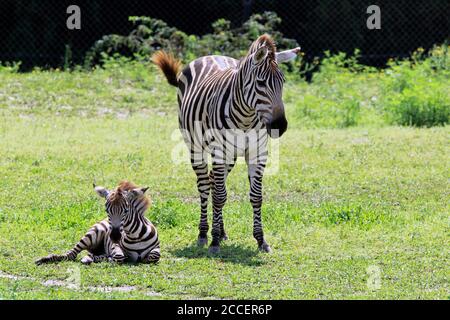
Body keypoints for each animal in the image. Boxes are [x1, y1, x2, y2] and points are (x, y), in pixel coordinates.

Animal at [153, 33, 300, 252]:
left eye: (282, 82)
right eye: (260, 83)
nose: (279, 126)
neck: (247, 118)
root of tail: (210, 55)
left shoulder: (257, 153)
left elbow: (256, 196)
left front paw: (261, 240)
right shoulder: (219, 152)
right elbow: (220, 196)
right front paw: (213, 241)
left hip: (230, 156)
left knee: (214, 183)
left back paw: (221, 232)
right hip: (196, 147)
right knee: (205, 186)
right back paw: (204, 233)